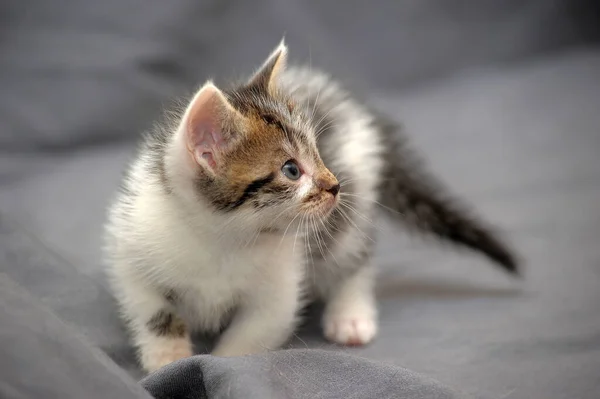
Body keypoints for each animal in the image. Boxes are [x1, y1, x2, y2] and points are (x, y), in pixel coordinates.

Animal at [103, 40, 516, 376]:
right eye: (291, 170)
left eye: (317, 154)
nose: (334, 185)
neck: (223, 234)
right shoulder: (134, 250)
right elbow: (153, 311)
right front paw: (167, 360)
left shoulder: (279, 286)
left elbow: (252, 335)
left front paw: (217, 364)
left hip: (352, 208)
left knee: (354, 255)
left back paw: (351, 315)